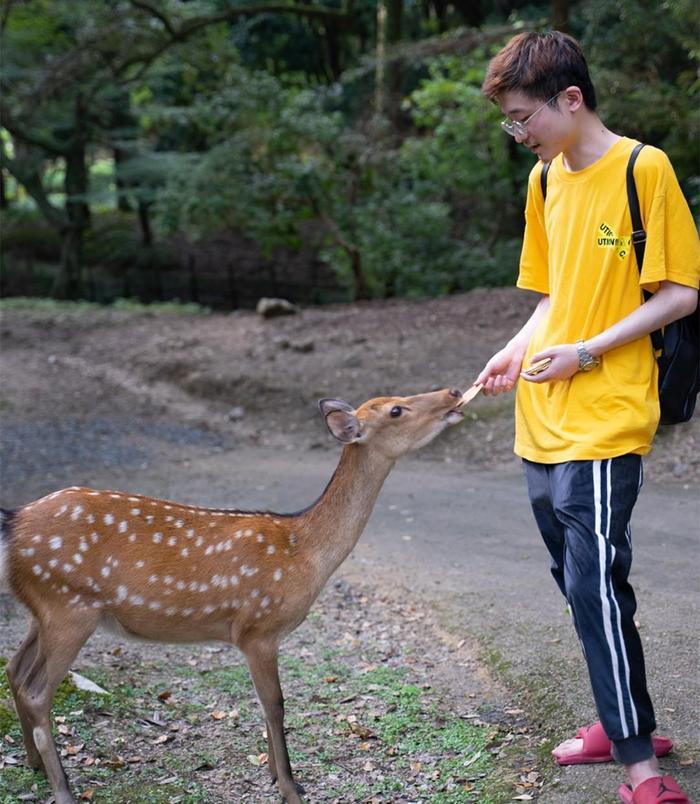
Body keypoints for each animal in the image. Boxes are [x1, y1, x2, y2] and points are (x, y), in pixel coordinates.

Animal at [1, 386, 470, 800]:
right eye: (396, 410)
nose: (452, 393)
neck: (304, 553)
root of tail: (15, 521)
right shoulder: (257, 628)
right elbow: (275, 704)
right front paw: (290, 787)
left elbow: (265, 706)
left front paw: (277, 776)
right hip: (69, 607)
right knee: (38, 690)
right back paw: (63, 789)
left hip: (43, 609)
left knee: (15, 670)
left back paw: (35, 766)